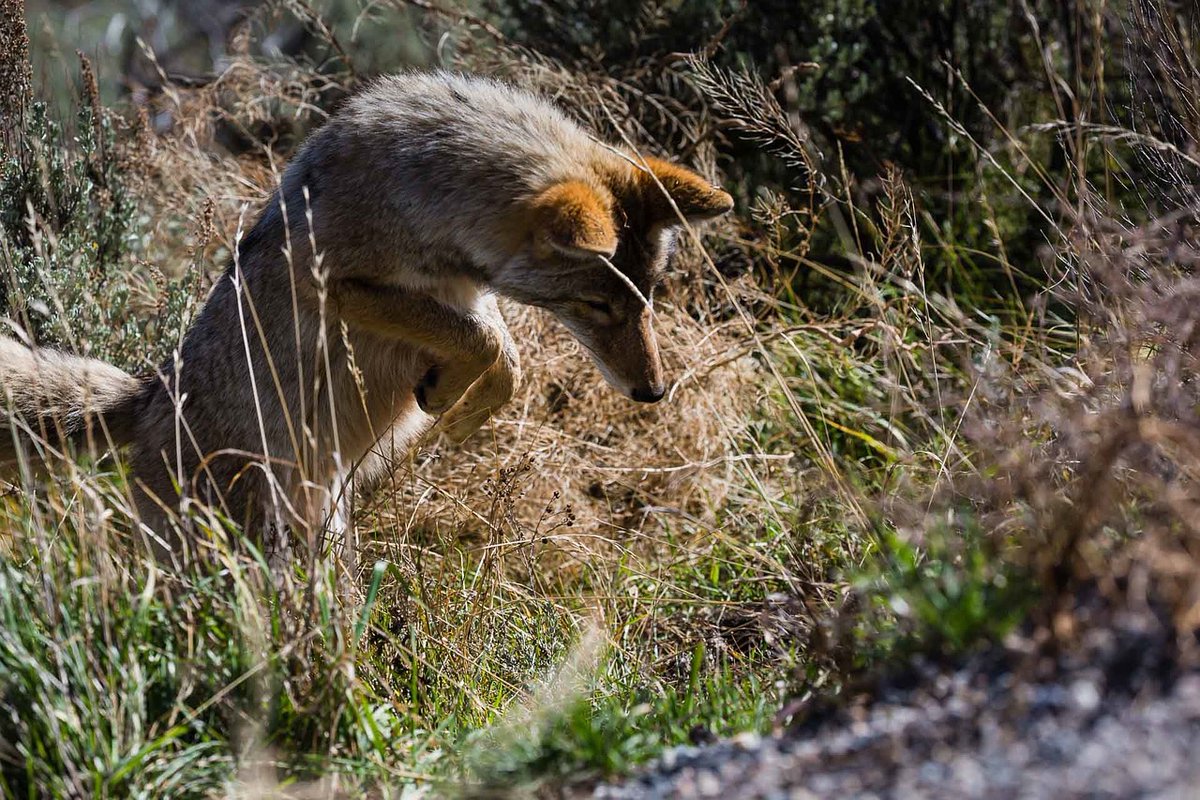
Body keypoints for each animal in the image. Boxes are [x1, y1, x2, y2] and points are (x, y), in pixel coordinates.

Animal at [0, 71, 733, 559]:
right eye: (595, 305)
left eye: (647, 298)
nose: (653, 392)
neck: (421, 189)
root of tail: (151, 395)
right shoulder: (337, 286)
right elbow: (489, 345)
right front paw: (460, 409)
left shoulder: (469, 295)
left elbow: (503, 352)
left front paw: (461, 401)